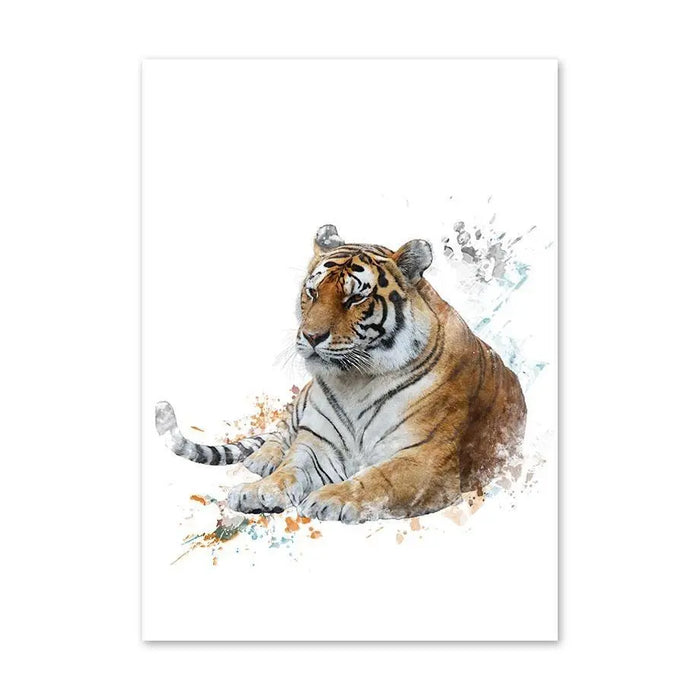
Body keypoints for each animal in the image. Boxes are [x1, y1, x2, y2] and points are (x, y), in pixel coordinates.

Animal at [155, 224, 526, 523]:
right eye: (312, 292)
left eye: (355, 298)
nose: (311, 336)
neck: (357, 382)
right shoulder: (317, 443)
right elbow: (290, 468)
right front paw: (258, 489)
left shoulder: (425, 457)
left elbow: (378, 480)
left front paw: (329, 499)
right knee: (280, 433)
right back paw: (263, 459)